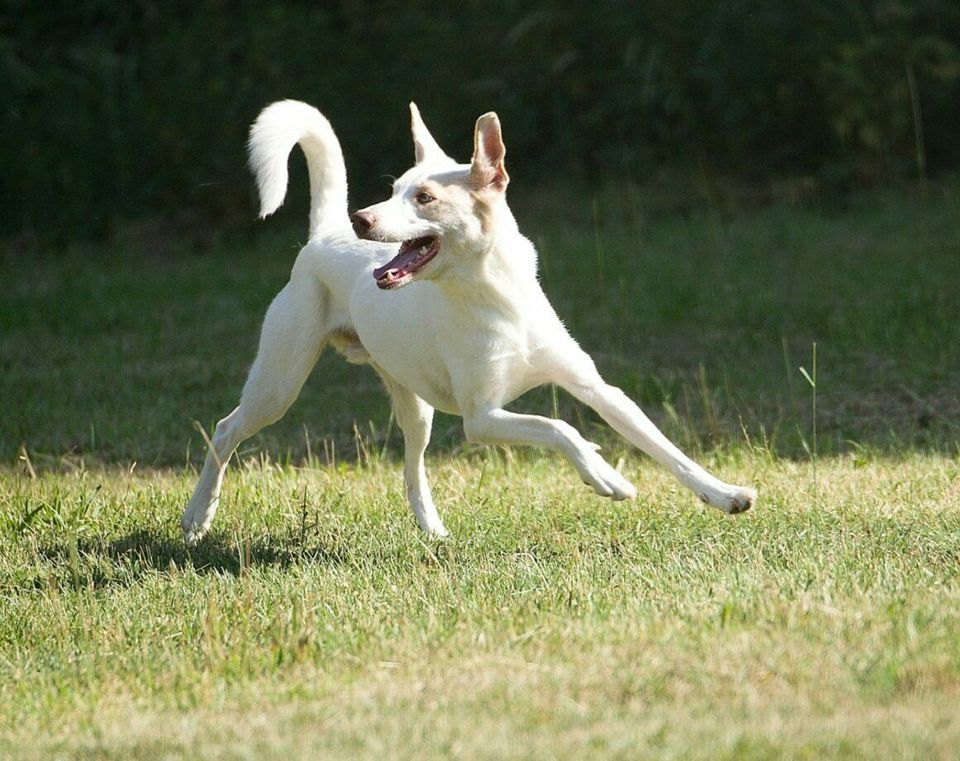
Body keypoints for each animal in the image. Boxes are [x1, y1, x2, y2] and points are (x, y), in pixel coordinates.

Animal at [176, 101, 752, 544]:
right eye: (394, 190)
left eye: (425, 197)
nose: (364, 218)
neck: (495, 298)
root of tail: (325, 233)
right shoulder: (482, 417)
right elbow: (558, 427)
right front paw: (603, 475)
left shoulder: (597, 389)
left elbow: (666, 448)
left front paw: (723, 494)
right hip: (279, 385)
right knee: (225, 430)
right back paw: (197, 515)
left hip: (415, 406)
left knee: (412, 469)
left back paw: (432, 531)